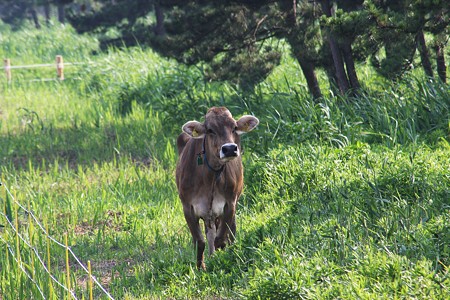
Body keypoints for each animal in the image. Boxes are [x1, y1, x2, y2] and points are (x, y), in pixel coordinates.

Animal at [177, 106, 260, 270]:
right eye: (210, 130)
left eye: (234, 127)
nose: (229, 149)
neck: (210, 178)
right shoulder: (188, 207)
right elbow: (199, 242)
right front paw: (200, 268)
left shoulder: (229, 204)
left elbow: (221, 239)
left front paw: (218, 261)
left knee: (228, 231)